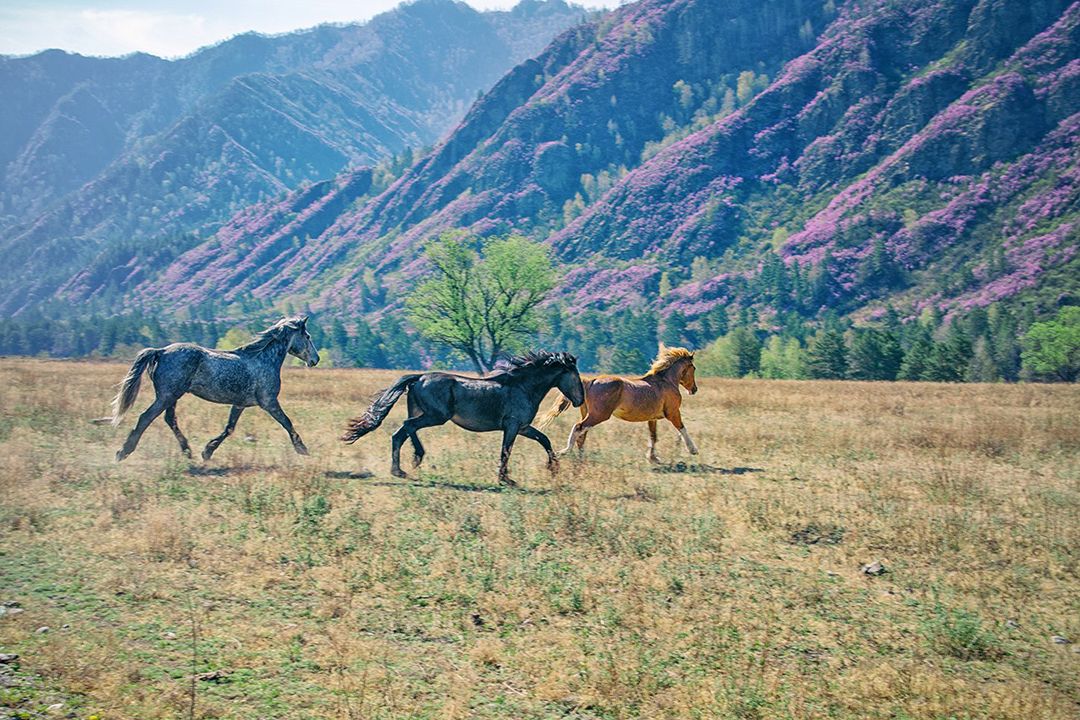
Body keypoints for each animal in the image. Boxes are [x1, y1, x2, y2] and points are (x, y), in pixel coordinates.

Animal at [111, 317, 317, 464]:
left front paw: (207, 451)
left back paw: (188, 451)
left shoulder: (240, 404)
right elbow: (287, 422)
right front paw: (303, 449)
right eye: (307, 336)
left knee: (170, 419)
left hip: (172, 396)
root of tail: (160, 351)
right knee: (146, 417)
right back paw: (123, 452)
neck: (264, 359)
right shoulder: (269, 402)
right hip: (167, 395)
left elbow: (229, 428)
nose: (316, 360)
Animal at [343, 351, 583, 487]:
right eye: (575, 375)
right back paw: (417, 458)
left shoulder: (523, 427)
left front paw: (553, 468)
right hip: (435, 416)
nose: (580, 399)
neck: (523, 387)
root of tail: (419, 377)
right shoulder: (513, 426)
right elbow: (506, 451)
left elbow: (544, 440)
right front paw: (506, 479)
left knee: (398, 435)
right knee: (407, 427)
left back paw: (400, 471)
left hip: (423, 414)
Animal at [540, 345, 699, 464]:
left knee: (582, 435)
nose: (694, 389)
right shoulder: (673, 412)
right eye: (693, 368)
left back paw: (581, 458)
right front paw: (693, 450)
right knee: (578, 427)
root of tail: (590, 381)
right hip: (599, 415)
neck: (666, 381)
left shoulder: (652, 418)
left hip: (589, 413)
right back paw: (565, 452)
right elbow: (682, 429)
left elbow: (653, 436)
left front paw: (653, 458)